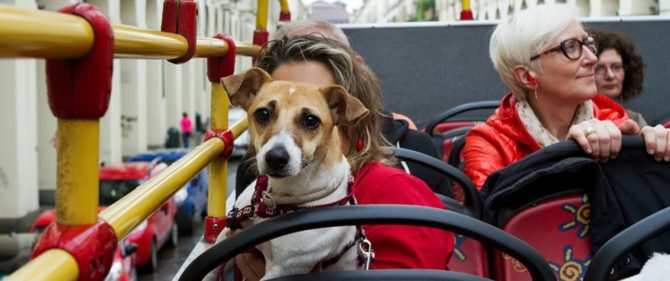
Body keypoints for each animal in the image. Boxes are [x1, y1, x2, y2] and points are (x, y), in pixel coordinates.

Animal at [219, 67, 368, 278]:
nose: (276, 158)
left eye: (311, 120)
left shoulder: (285, 268)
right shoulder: (226, 235)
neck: (274, 203)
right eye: (263, 113)